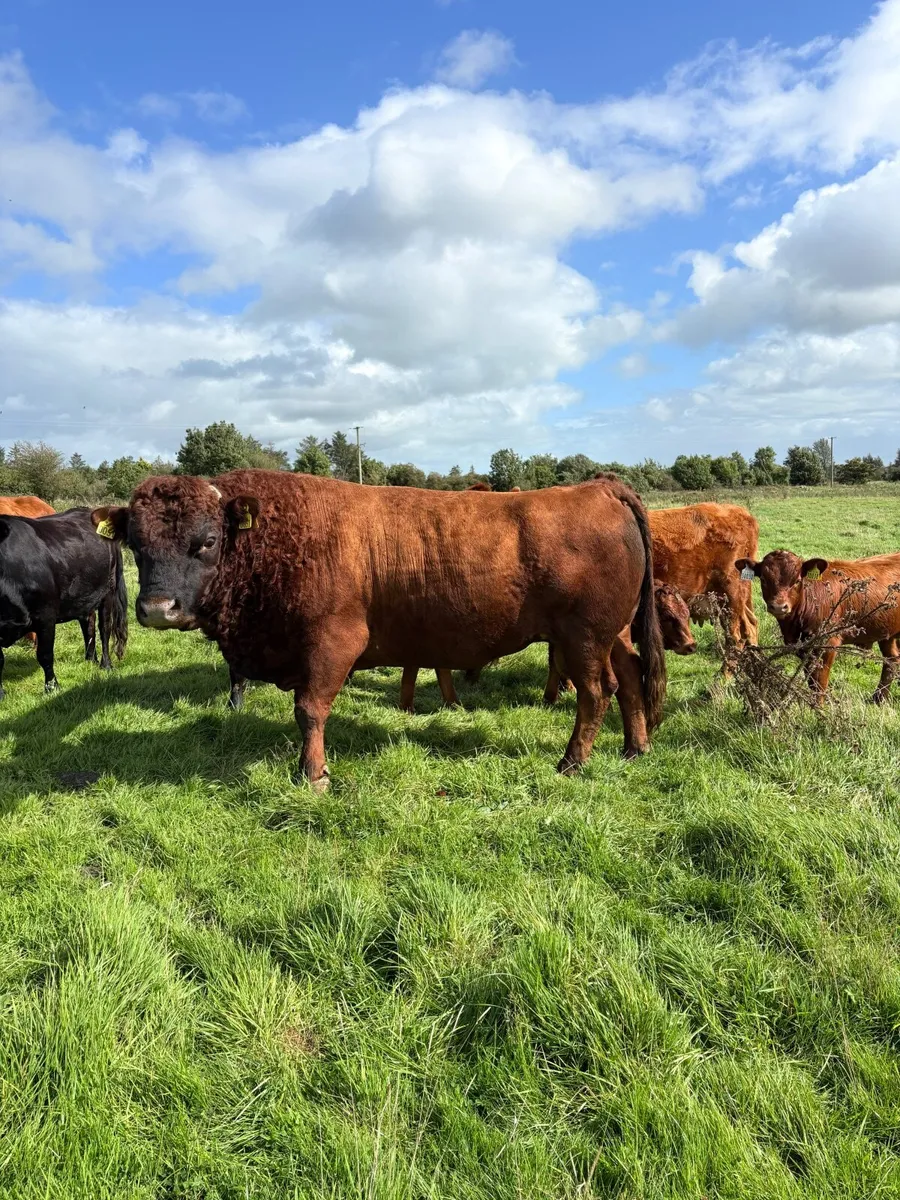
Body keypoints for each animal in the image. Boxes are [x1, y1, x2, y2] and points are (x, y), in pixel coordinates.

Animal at [0, 508, 128, 698]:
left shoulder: (45, 616)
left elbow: (45, 654)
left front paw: (52, 688)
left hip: (108, 592)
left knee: (104, 629)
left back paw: (106, 665)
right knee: (88, 625)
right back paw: (90, 659)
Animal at [92, 470, 666, 788]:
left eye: (207, 541)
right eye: (135, 543)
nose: (158, 608)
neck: (279, 536)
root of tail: (600, 489)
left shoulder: (332, 644)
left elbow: (309, 710)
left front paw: (313, 775)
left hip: (582, 639)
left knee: (595, 693)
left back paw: (571, 763)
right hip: (611, 635)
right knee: (631, 679)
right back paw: (634, 748)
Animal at [735, 550, 900, 703]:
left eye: (797, 580)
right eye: (763, 579)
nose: (779, 607)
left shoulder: (826, 645)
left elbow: (819, 683)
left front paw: (818, 709)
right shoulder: (804, 648)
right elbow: (811, 680)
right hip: (887, 633)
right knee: (892, 659)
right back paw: (878, 699)